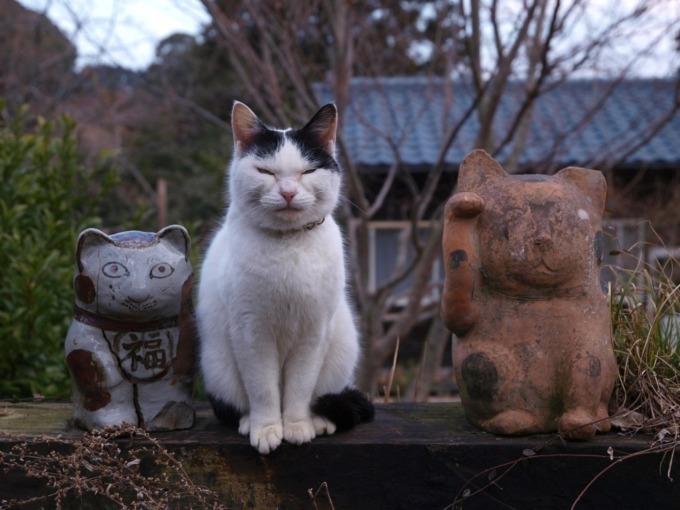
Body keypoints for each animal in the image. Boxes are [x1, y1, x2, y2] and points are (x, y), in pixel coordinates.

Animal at [199, 100, 374, 454]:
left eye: (307, 171)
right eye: (266, 172)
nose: (289, 192)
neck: (288, 244)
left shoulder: (314, 332)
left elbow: (299, 388)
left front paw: (296, 426)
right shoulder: (251, 332)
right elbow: (263, 389)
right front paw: (267, 430)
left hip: (341, 349)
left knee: (325, 395)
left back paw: (320, 421)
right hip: (218, 364)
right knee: (237, 403)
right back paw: (248, 421)